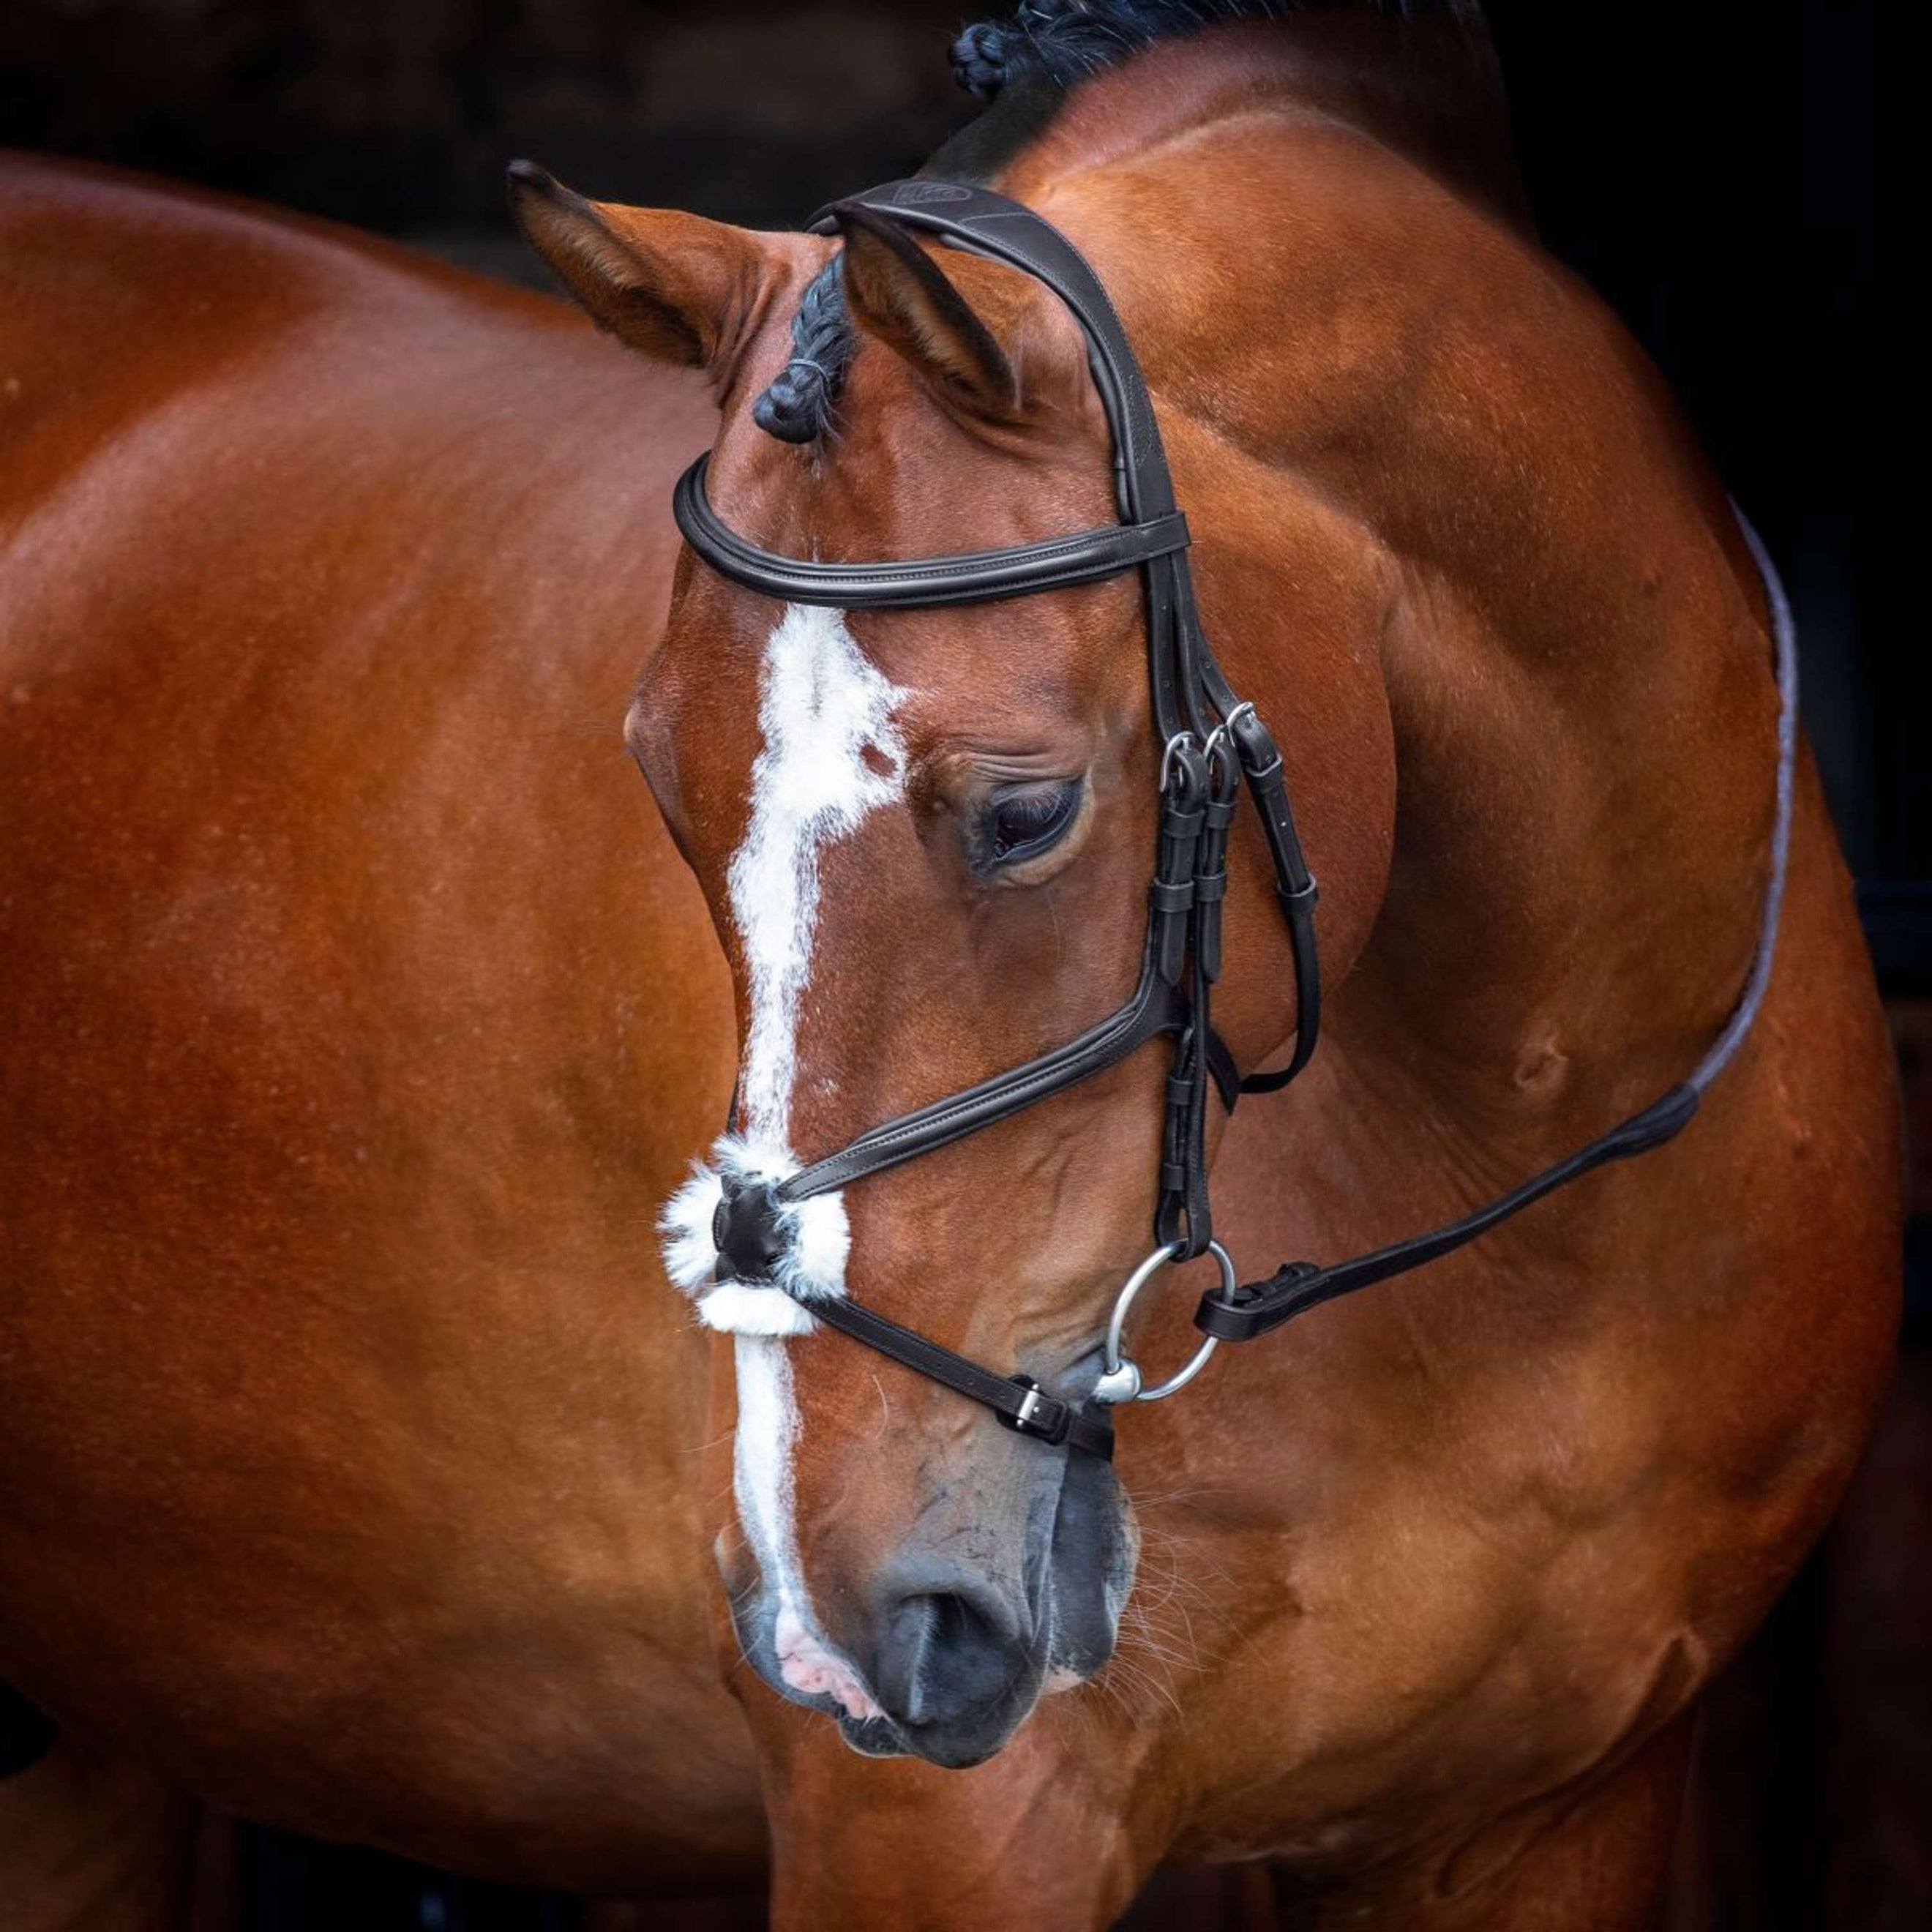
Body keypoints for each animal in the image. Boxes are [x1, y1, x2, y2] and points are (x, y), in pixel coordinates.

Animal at [0, 4, 1901, 1932]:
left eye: (1026, 813)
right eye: (660, 786)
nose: (844, 1609)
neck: (1515, 1179)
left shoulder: (1552, 1817)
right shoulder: (942, 1837)